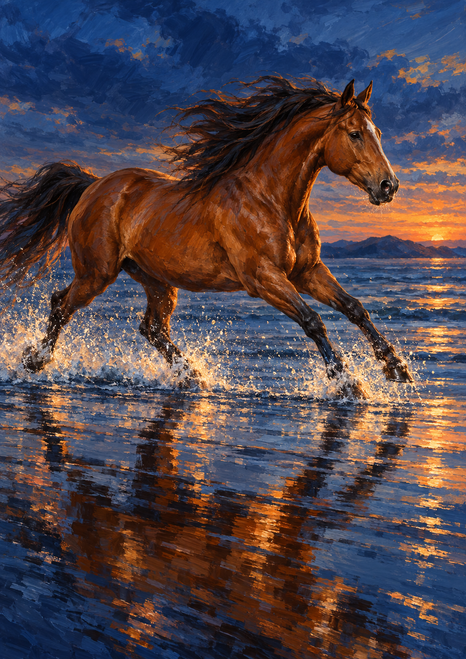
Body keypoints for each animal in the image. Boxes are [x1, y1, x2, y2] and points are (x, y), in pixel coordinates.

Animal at [0, 76, 413, 397]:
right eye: (355, 134)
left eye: (377, 133)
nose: (388, 186)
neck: (269, 198)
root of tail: (92, 185)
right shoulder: (263, 278)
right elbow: (313, 321)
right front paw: (349, 384)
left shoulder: (307, 271)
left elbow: (355, 308)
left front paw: (397, 370)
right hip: (96, 273)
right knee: (61, 305)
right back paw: (33, 361)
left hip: (156, 280)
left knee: (152, 328)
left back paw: (193, 378)